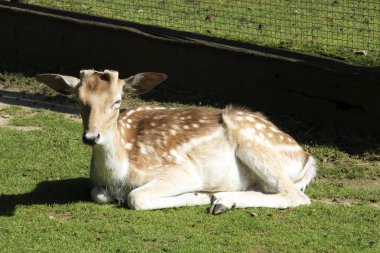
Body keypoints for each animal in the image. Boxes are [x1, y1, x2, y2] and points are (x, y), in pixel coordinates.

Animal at [37, 69, 318, 213]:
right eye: (78, 100)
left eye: (117, 101)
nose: (91, 136)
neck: (120, 173)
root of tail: (307, 158)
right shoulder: (98, 186)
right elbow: (98, 194)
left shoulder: (181, 170)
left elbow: (136, 198)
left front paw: (201, 196)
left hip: (254, 143)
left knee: (295, 195)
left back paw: (220, 200)